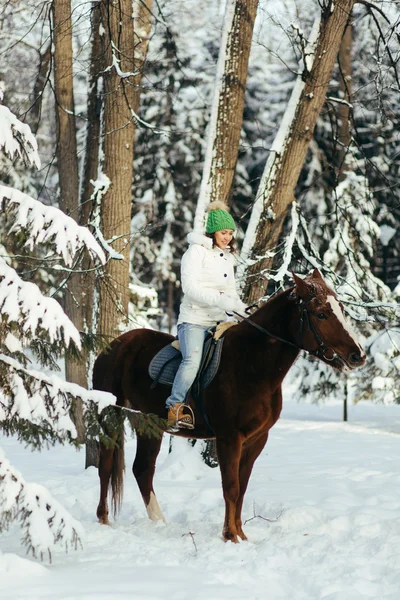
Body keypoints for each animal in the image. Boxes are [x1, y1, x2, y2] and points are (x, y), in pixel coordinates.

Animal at [93, 270, 366, 544]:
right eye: (321, 313)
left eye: (341, 309)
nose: (358, 356)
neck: (251, 363)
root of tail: (114, 345)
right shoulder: (229, 438)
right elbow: (231, 487)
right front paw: (230, 536)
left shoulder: (256, 439)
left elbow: (242, 487)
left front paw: (241, 535)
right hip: (111, 415)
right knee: (106, 465)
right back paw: (104, 520)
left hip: (149, 425)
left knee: (143, 469)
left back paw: (160, 522)